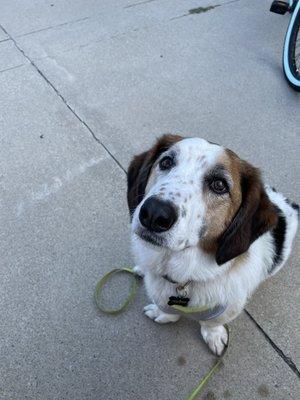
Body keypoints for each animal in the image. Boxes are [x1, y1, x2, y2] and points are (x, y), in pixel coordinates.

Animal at [126, 136, 298, 354]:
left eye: (219, 184)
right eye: (166, 162)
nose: (154, 214)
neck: (184, 276)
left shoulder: (229, 307)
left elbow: (211, 323)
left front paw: (213, 335)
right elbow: (167, 309)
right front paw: (163, 314)